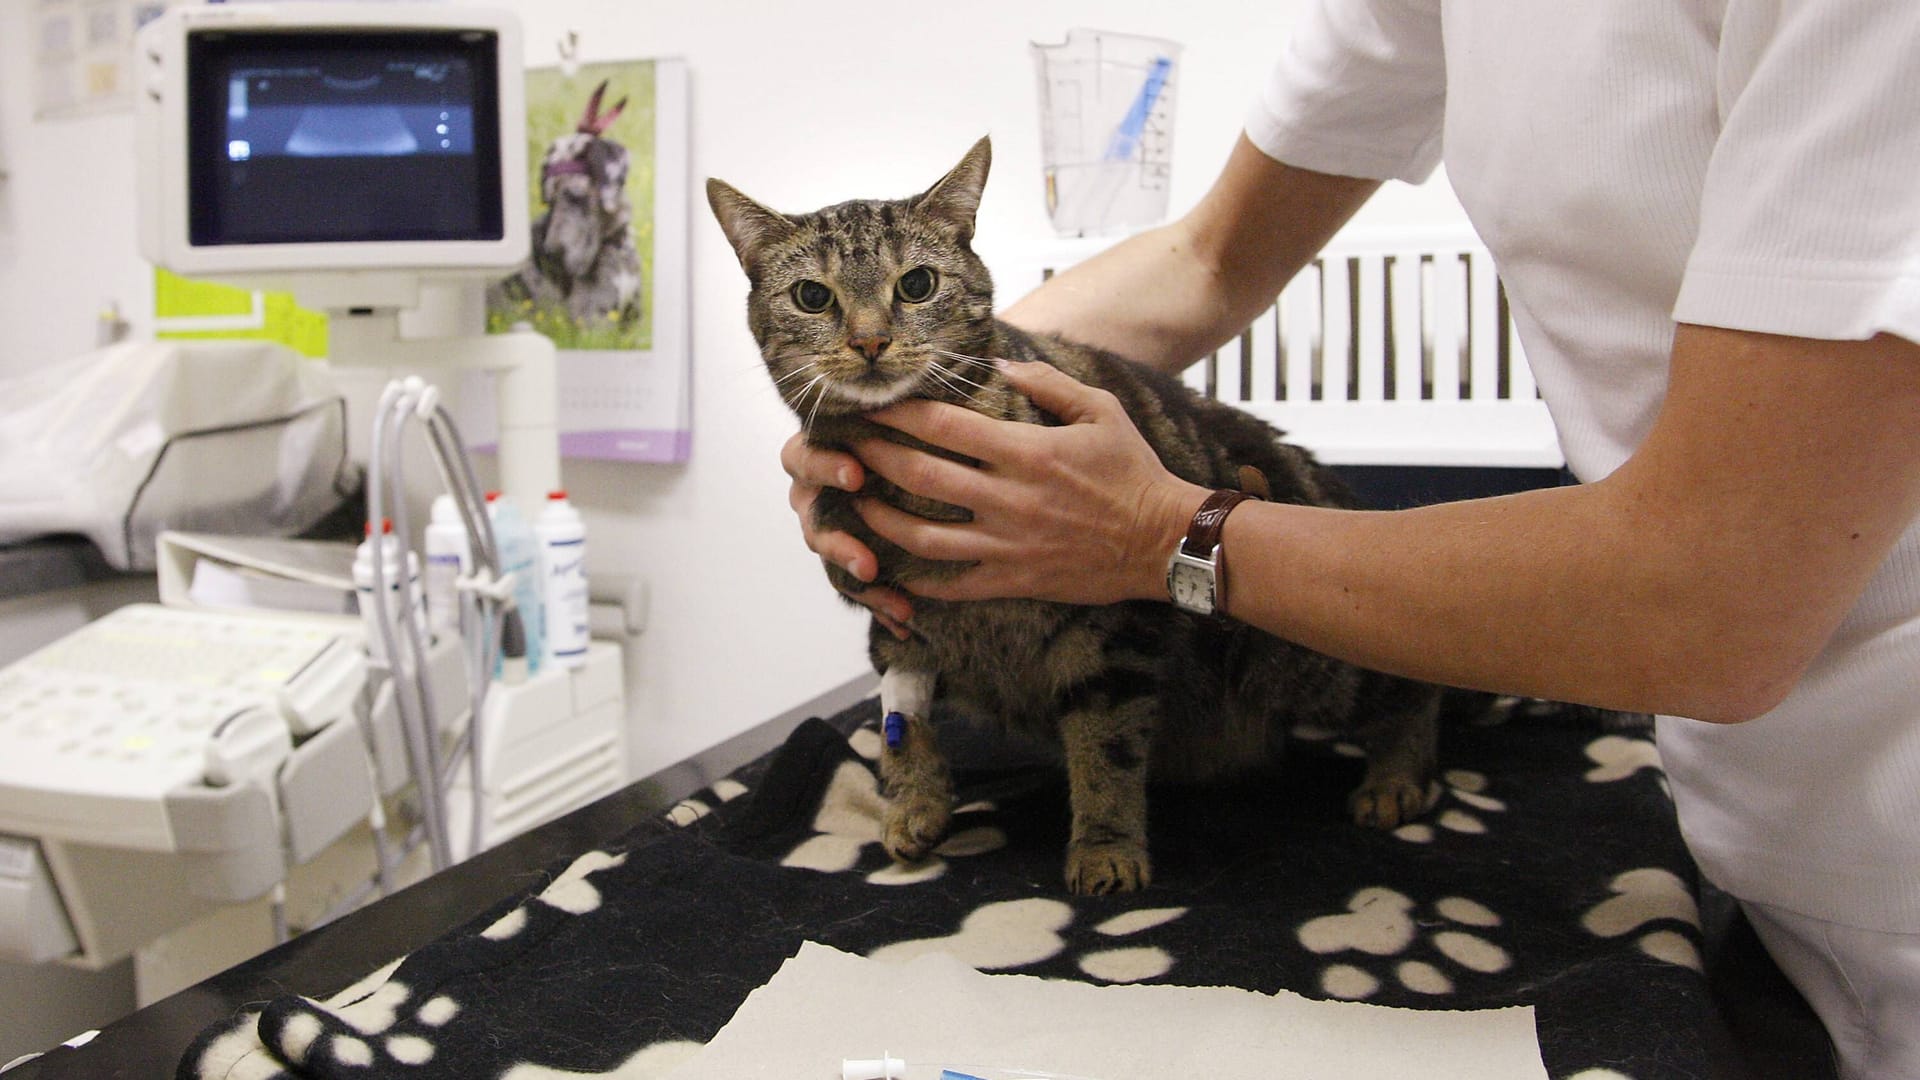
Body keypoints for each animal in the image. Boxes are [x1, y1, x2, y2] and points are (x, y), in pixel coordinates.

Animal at [710, 136, 1443, 891]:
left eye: (915, 285)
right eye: (812, 296)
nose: (869, 341)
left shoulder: (1112, 637)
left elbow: (1105, 750)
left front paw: (1105, 848)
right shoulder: (894, 619)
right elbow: (902, 730)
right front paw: (914, 805)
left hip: (1299, 655)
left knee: (1414, 687)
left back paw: (1395, 779)